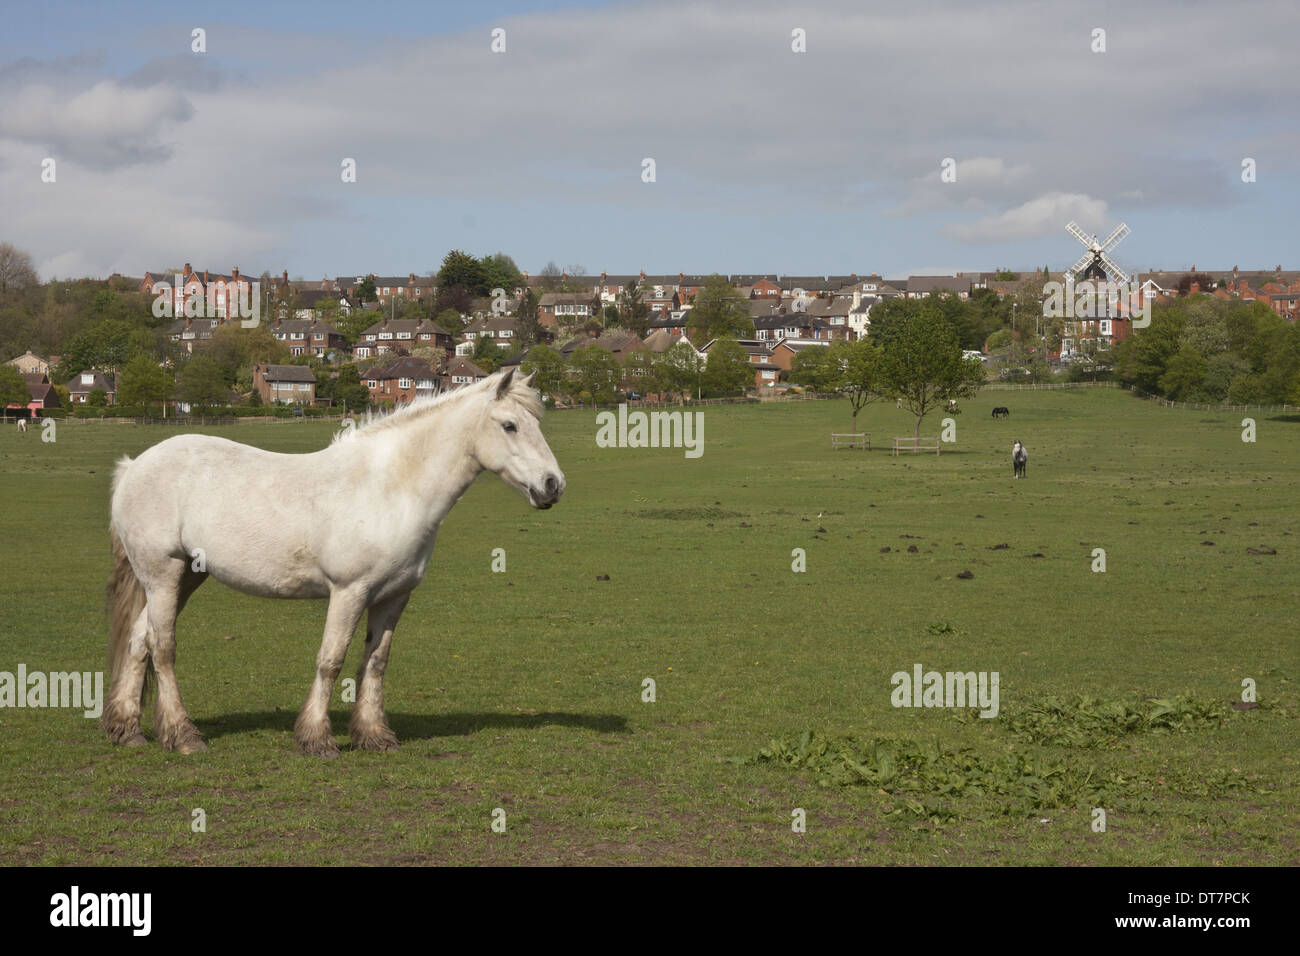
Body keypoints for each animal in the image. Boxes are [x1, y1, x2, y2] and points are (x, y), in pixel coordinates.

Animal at [102, 369, 564, 759]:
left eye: (536, 423)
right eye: (510, 425)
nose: (552, 485)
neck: (390, 488)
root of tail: (134, 467)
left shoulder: (394, 596)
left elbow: (375, 662)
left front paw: (374, 736)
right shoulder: (349, 591)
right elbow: (331, 659)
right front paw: (316, 739)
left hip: (185, 577)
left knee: (140, 640)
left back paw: (128, 730)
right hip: (163, 574)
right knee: (163, 647)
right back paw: (183, 735)